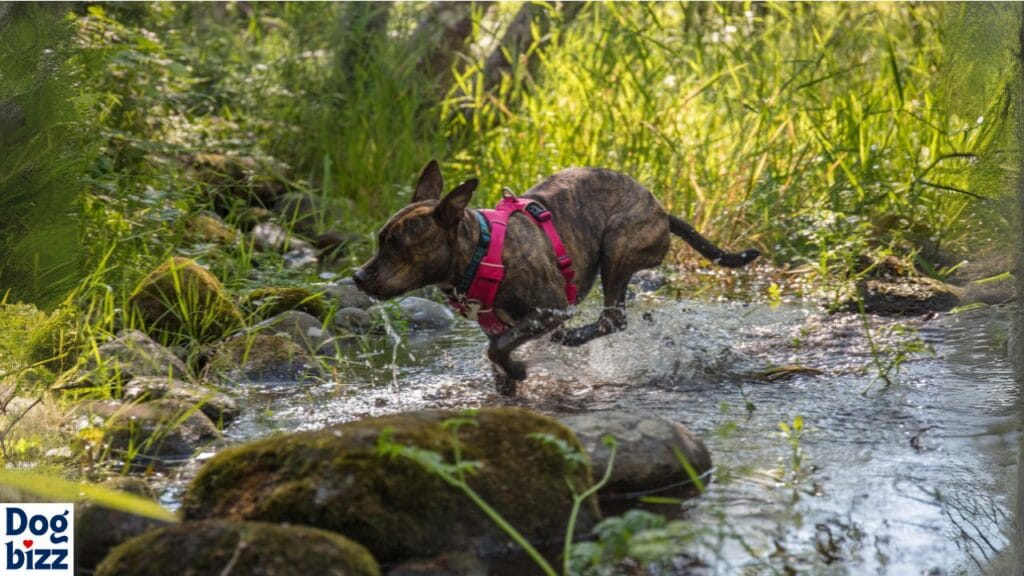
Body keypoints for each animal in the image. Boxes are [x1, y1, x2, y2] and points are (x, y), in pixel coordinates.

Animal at [354, 161, 761, 393]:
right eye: (380, 239)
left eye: (396, 244)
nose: (357, 276)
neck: (480, 252)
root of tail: (660, 210)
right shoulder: (501, 323)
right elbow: (497, 351)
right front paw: (507, 383)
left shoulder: (549, 309)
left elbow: (497, 349)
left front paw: (519, 369)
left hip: (618, 245)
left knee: (613, 317)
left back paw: (573, 336)